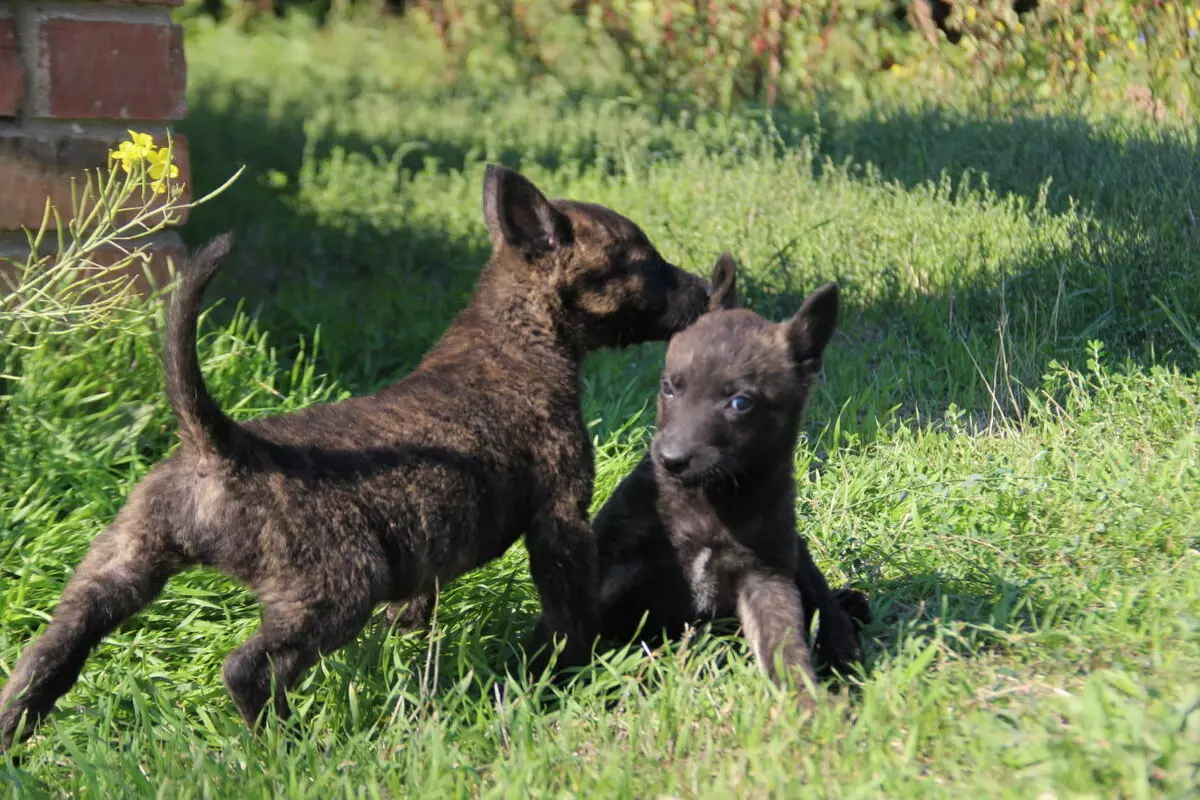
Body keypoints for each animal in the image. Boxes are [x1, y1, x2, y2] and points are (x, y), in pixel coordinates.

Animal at [0, 164, 710, 753]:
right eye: (641, 261)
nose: (705, 288)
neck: (518, 338)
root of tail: (219, 446)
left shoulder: (423, 564)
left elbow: (415, 621)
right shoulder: (559, 520)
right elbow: (570, 611)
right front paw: (574, 672)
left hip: (117, 572)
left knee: (46, 657)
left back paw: (14, 740)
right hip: (337, 587)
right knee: (249, 670)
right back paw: (291, 748)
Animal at [588, 260, 864, 705]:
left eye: (740, 403)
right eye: (669, 387)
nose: (671, 460)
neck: (709, 498)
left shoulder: (765, 575)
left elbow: (785, 647)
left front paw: (808, 705)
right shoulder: (615, 557)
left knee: (823, 596)